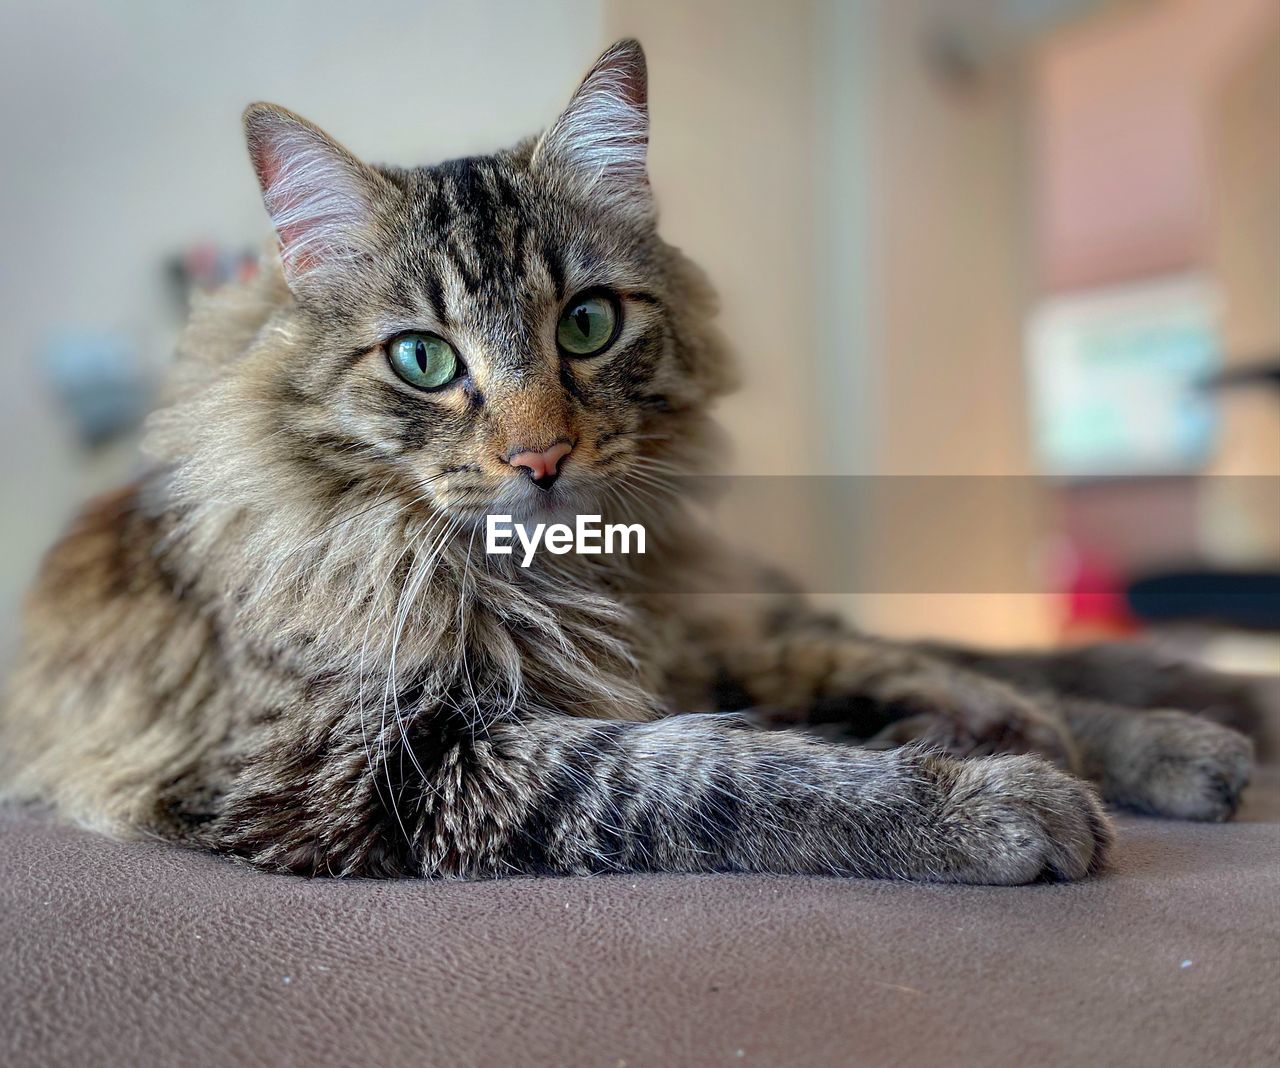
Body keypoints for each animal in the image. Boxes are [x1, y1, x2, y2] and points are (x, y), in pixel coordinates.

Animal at [0, 39, 1259, 881]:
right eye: (422, 359)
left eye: (588, 325)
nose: (538, 455)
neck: (557, 585)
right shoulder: (375, 764)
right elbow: (720, 773)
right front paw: (987, 804)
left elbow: (790, 729)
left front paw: (1015, 757)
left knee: (968, 660)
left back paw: (1198, 726)